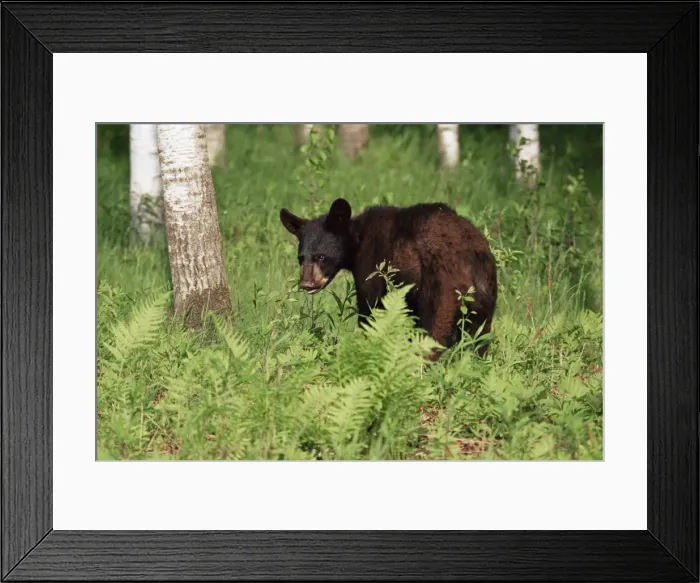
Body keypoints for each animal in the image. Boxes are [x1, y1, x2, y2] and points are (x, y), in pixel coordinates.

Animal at [280, 198, 497, 361]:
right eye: (301, 258)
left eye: (321, 257)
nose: (307, 284)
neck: (358, 240)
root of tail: (469, 257)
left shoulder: (372, 267)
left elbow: (371, 310)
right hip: (486, 293)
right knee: (480, 338)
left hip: (441, 288)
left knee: (435, 331)